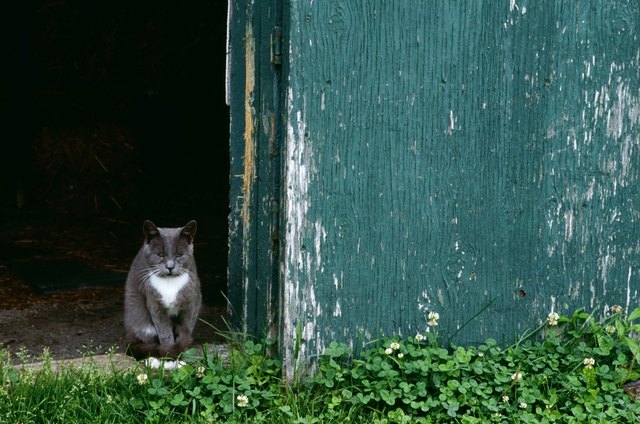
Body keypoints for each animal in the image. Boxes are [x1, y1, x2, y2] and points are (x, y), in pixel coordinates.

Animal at [121, 220, 199, 360]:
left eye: (179, 255)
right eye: (160, 255)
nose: (170, 267)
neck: (170, 283)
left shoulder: (191, 302)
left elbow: (187, 326)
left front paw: (184, 352)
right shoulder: (155, 304)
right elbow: (164, 332)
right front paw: (170, 356)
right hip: (139, 316)